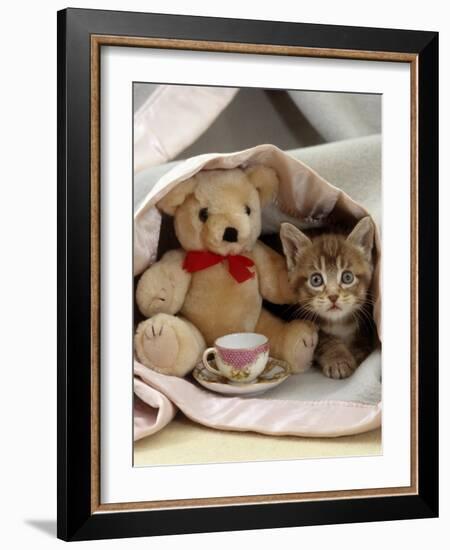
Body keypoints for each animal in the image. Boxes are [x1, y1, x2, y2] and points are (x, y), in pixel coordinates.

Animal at [282, 218, 376, 382]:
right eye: (316, 280)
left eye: (347, 277)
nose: (333, 296)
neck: (338, 323)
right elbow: (324, 339)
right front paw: (338, 360)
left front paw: (358, 352)